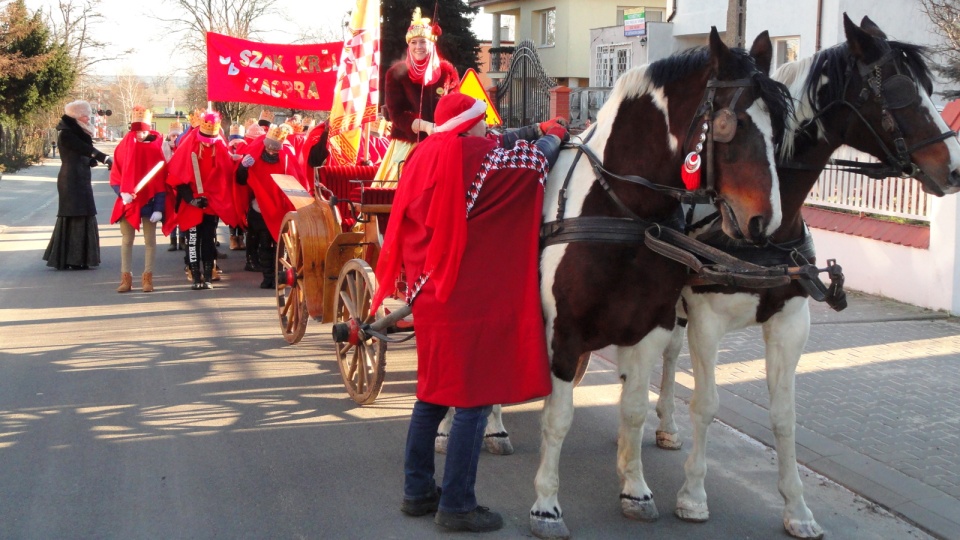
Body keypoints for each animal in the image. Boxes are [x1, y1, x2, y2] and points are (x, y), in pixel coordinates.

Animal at [528, 29, 792, 540]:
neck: (623, 213)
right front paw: (546, 504)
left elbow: (632, 408)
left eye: (779, 130)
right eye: (729, 125)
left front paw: (635, 489)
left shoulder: (650, 329)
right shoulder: (563, 333)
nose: (764, 223)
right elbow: (557, 417)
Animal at [656, 13, 960, 540]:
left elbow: (785, 416)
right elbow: (708, 404)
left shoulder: (790, 322)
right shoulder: (707, 320)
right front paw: (694, 494)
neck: (767, 230)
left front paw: (797, 508)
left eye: (928, 88)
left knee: (671, 354)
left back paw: (666, 426)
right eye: (899, 92)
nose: (955, 168)